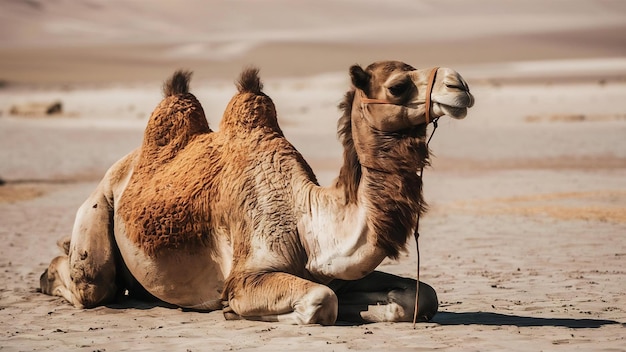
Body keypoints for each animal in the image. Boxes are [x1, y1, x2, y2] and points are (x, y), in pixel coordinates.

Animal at [39, 60, 470, 324]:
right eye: (398, 86)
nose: (460, 85)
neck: (307, 217)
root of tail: (121, 168)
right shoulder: (249, 274)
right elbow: (320, 301)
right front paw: (234, 311)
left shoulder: (333, 271)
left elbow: (420, 297)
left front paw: (372, 309)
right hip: (98, 207)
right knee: (91, 282)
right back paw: (48, 273)